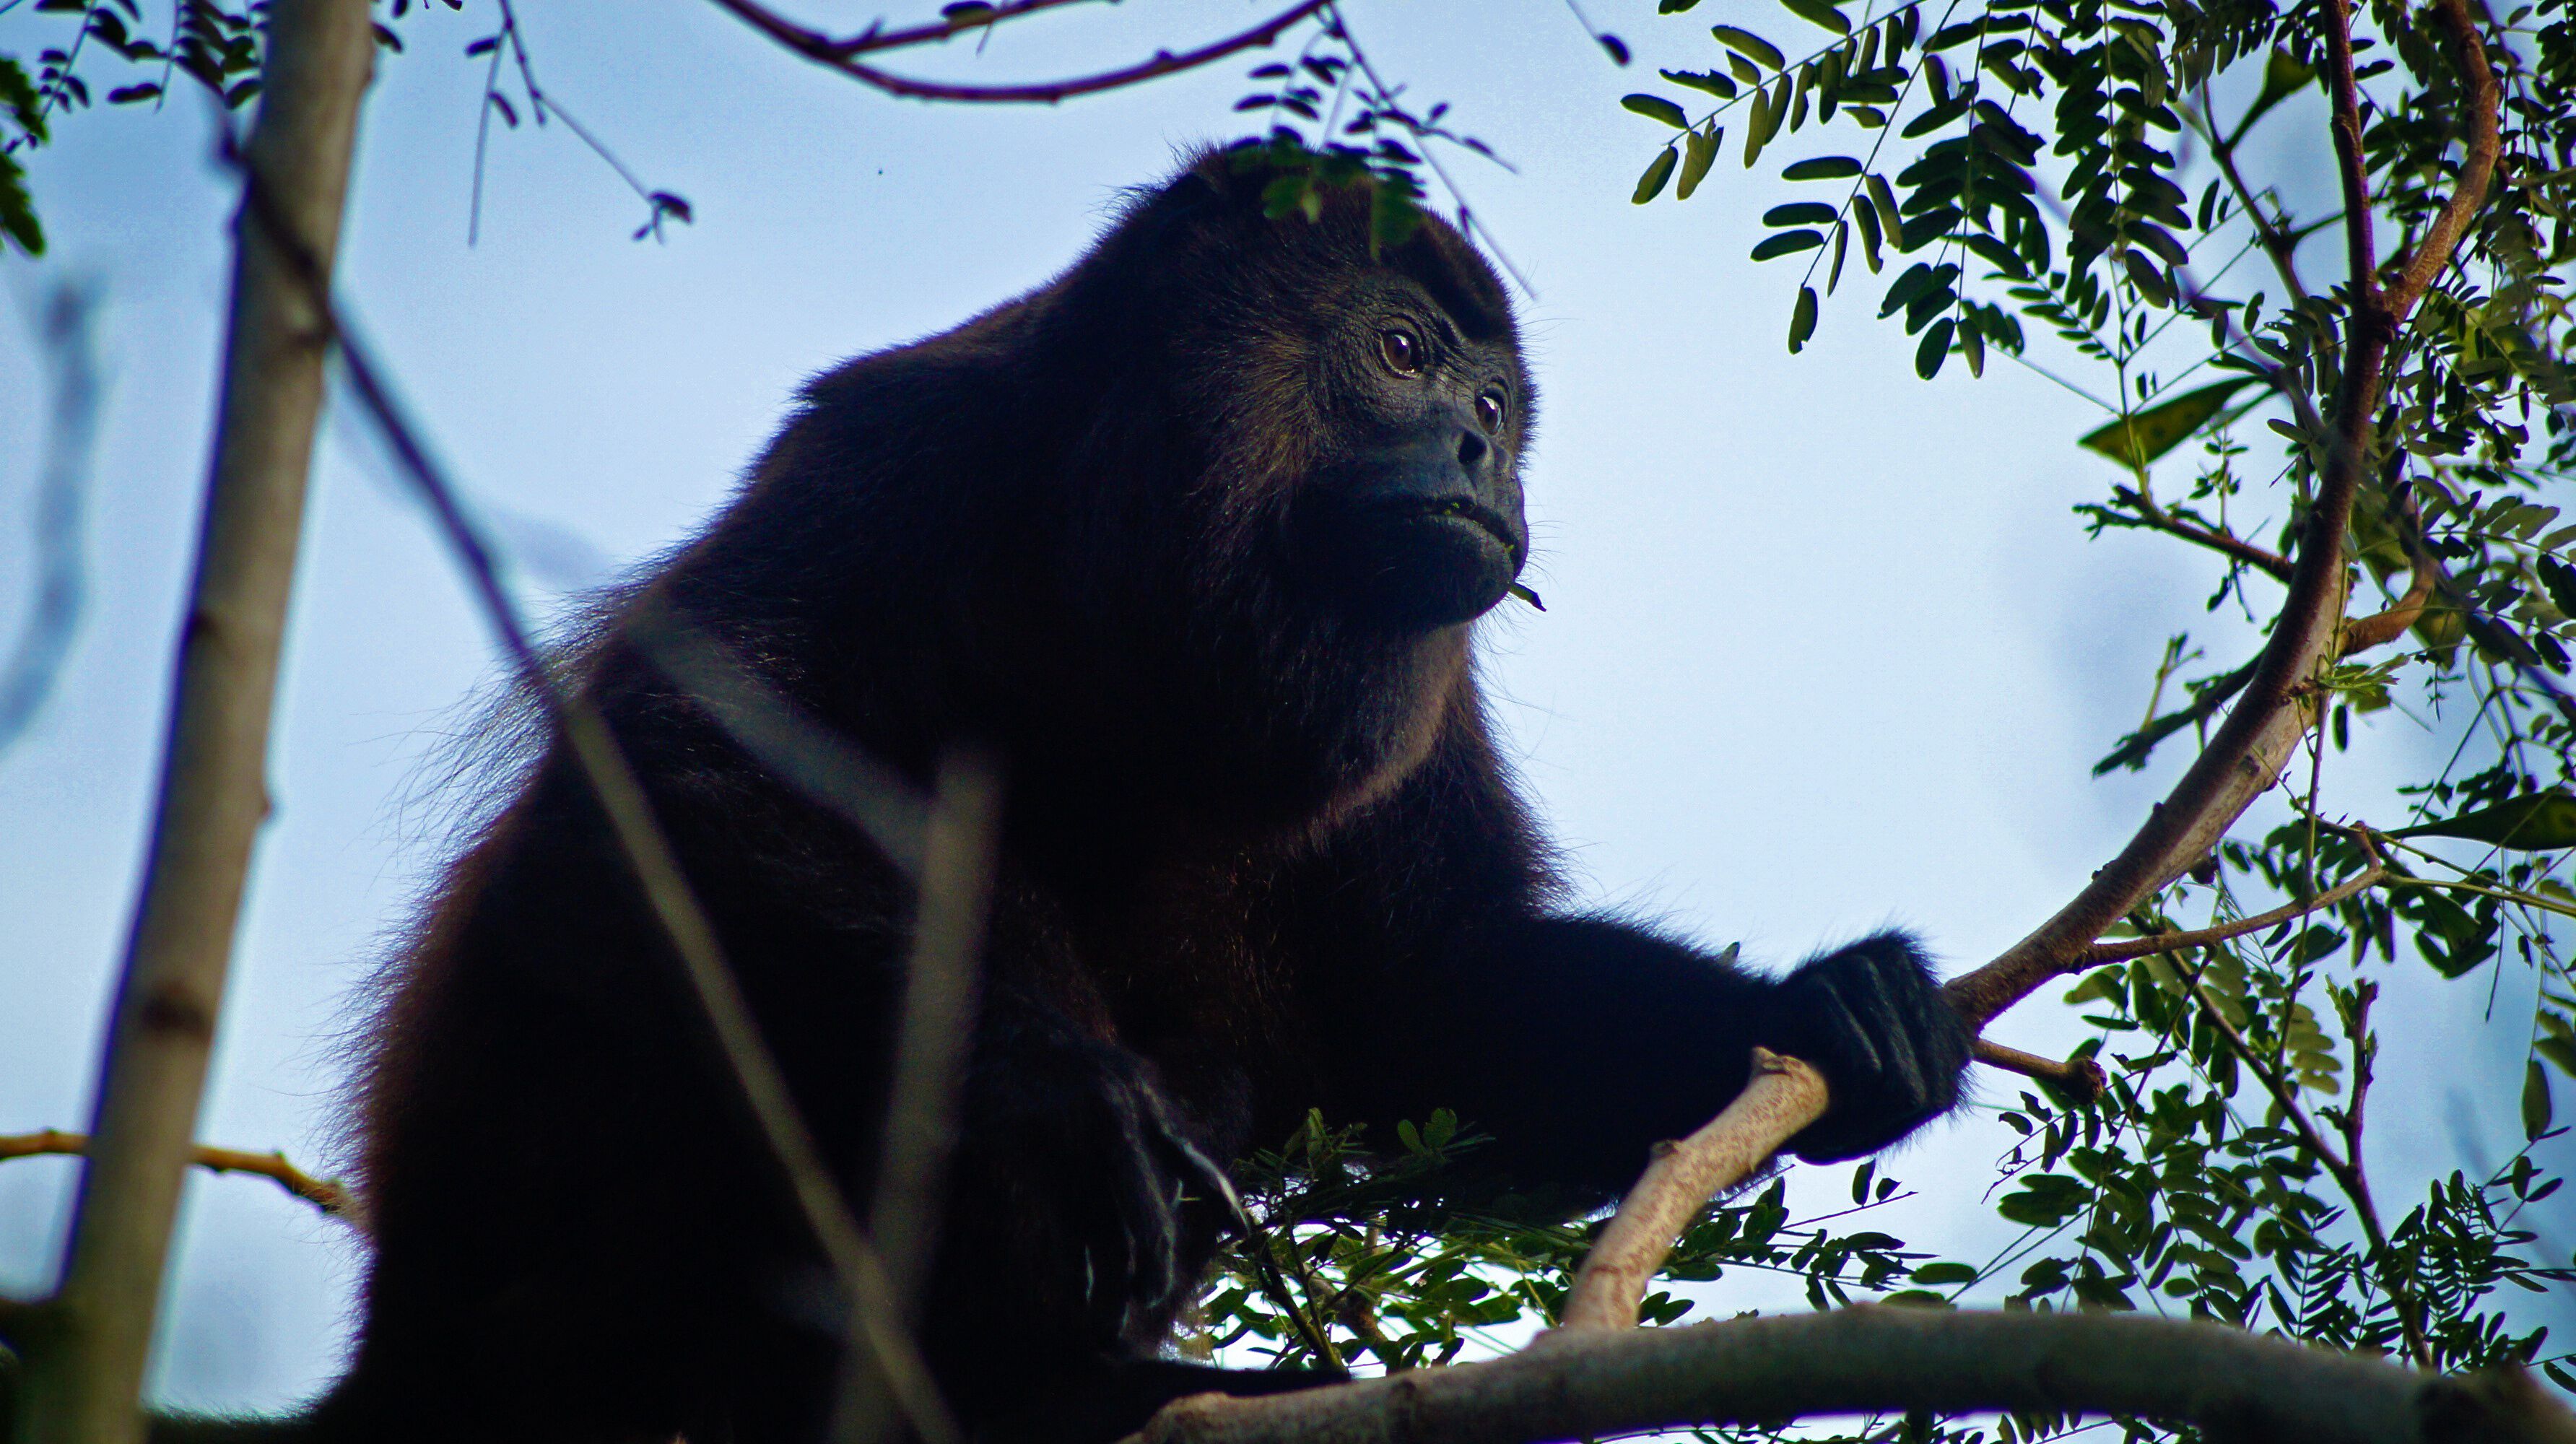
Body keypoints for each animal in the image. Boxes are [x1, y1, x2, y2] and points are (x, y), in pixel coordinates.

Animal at [129, 146, 1972, 1444]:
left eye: (1500, 405)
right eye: (1399, 351)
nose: (1479, 454)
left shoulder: (1427, 684)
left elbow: (1431, 997)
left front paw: (1820, 1006)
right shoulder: (904, 445)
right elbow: (671, 766)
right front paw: (1052, 1085)